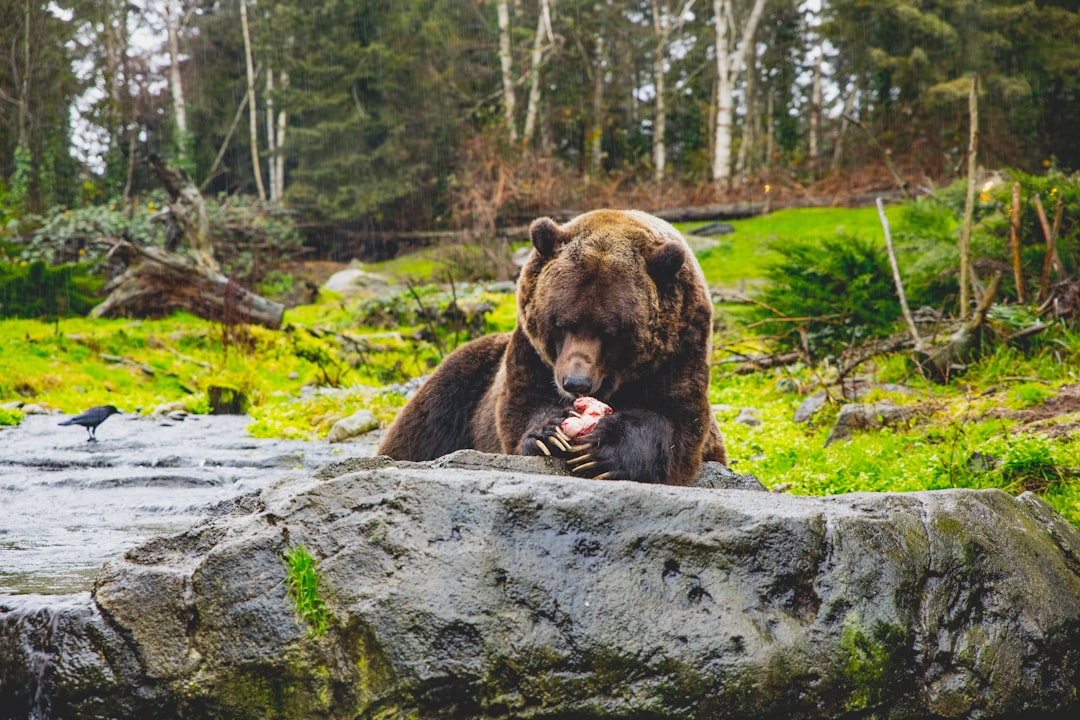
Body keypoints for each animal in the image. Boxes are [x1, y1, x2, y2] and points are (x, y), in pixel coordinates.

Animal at [376, 209, 727, 485]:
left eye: (611, 332)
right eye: (561, 323)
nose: (575, 383)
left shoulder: (680, 351)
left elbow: (674, 423)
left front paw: (602, 449)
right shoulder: (531, 356)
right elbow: (523, 409)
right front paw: (550, 433)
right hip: (465, 379)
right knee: (423, 427)